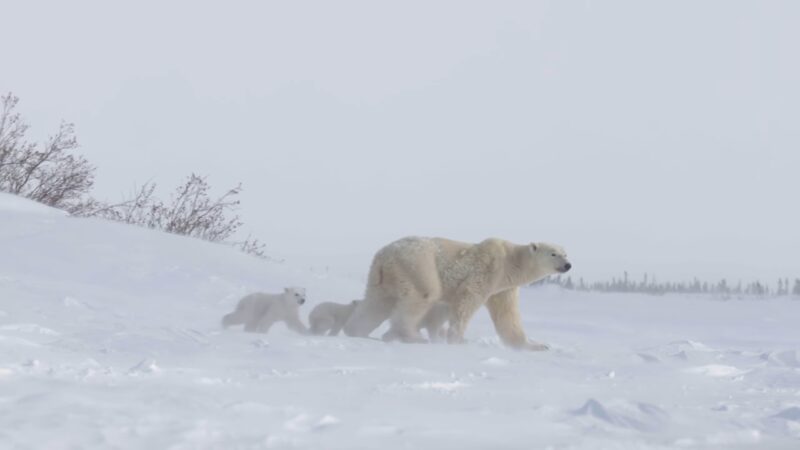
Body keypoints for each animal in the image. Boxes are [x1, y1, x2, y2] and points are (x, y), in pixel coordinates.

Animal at [342, 237, 568, 350]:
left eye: (566, 253)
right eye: (553, 253)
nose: (568, 265)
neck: (510, 263)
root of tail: (384, 255)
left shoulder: (504, 288)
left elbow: (507, 316)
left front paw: (536, 345)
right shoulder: (488, 270)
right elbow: (467, 301)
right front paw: (458, 340)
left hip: (383, 276)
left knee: (376, 302)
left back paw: (357, 330)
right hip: (418, 264)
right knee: (423, 294)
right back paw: (412, 336)